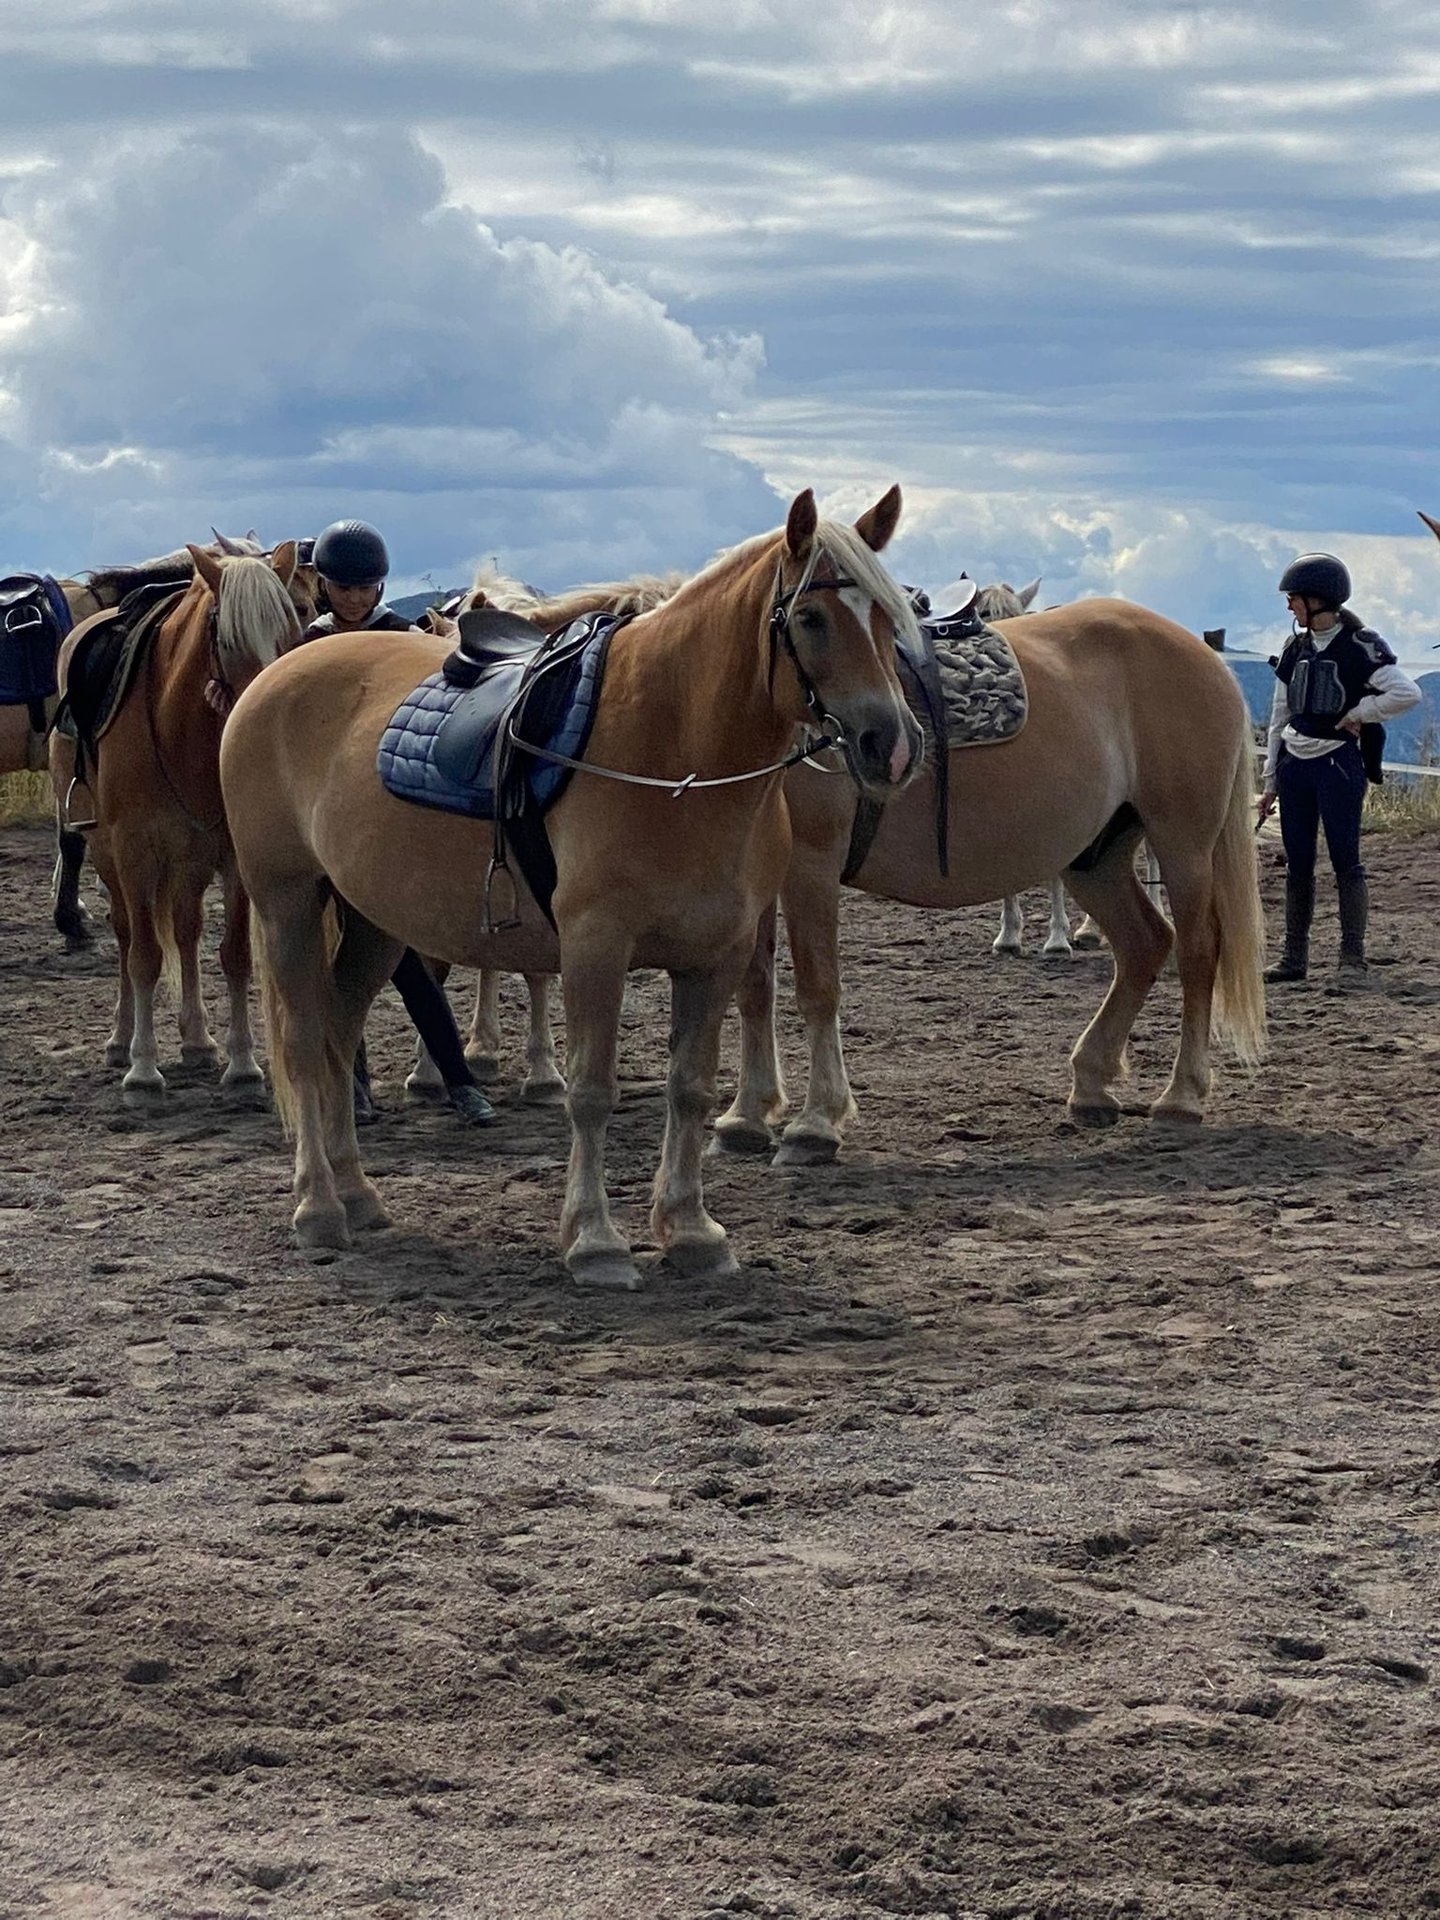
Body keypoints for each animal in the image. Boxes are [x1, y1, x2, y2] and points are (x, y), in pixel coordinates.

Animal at [48, 545, 306, 1097]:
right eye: (223, 633)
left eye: (292, 627)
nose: (265, 710)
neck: (179, 729)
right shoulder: (134, 854)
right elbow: (144, 956)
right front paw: (143, 1067)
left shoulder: (230, 855)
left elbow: (234, 955)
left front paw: (242, 1063)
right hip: (108, 857)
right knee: (127, 934)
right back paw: (121, 1040)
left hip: (188, 863)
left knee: (187, 932)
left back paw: (198, 1040)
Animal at [219, 488, 923, 1287]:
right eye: (810, 618)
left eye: (889, 618)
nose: (892, 746)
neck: (672, 749)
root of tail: (275, 677)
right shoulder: (596, 948)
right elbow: (590, 1094)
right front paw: (595, 1241)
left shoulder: (714, 956)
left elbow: (691, 1087)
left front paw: (691, 1230)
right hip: (287, 902)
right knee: (306, 1042)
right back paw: (318, 1208)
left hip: (373, 921)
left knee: (339, 1033)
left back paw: (357, 1193)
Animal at [713, 595, 1266, 1164]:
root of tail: (1206, 658)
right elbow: (754, 987)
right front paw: (746, 1115)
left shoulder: (812, 863)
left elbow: (816, 986)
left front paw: (815, 1123)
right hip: (1095, 859)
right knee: (1144, 943)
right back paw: (1091, 1083)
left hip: (1184, 847)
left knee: (1198, 952)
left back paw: (1181, 1096)